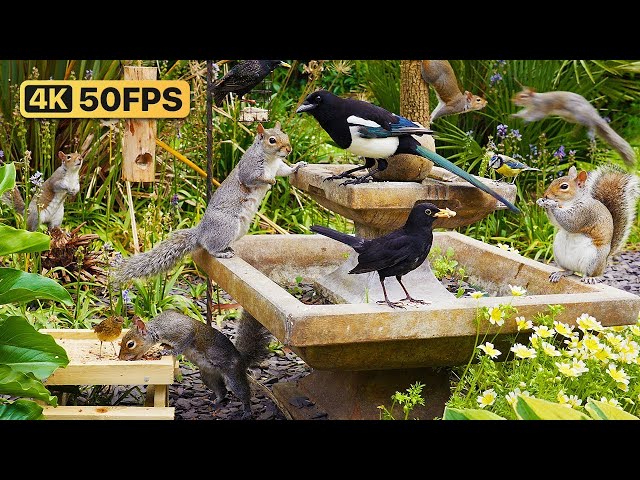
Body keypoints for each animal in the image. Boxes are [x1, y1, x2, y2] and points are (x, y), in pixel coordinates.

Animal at [112, 121, 307, 286]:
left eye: (285, 135)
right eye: (272, 140)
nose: (289, 149)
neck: (270, 159)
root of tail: (201, 232)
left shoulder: (279, 167)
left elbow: (286, 170)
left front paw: (298, 165)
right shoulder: (249, 170)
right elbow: (252, 179)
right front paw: (270, 181)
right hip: (227, 226)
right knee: (209, 247)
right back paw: (222, 252)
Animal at [118, 308, 272, 420]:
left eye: (130, 344)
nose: (120, 357)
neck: (159, 328)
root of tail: (241, 359)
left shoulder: (184, 331)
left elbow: (183, 342)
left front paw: (169, 351)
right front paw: (165, 346)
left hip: (233, 375)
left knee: (243, 393)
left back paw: (247, 411)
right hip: (208, 377)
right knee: (222, 391)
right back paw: (216, 401)